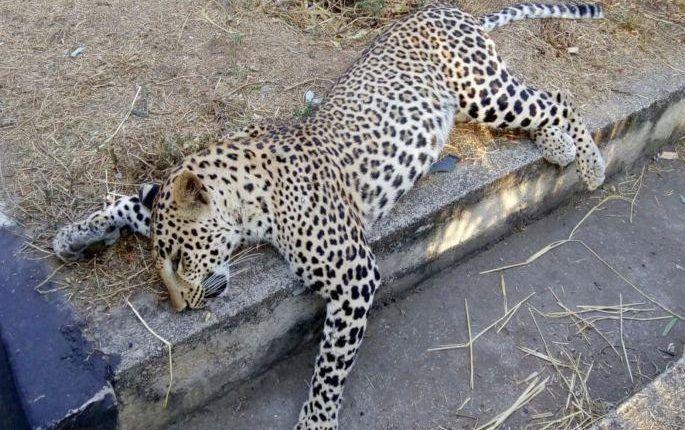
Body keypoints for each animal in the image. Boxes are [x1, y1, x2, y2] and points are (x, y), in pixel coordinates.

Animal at [53, 3, 606, 428]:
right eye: (162, 264)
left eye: (182, 259)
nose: (180, 308)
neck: (249, 196)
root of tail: (442, 9)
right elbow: (131, 203)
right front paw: (74, 237)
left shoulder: (354, 273)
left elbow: (331, 363)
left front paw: (316, 420)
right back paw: (559, 147)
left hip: (482, 90)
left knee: (556, 98)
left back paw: (587, 161)